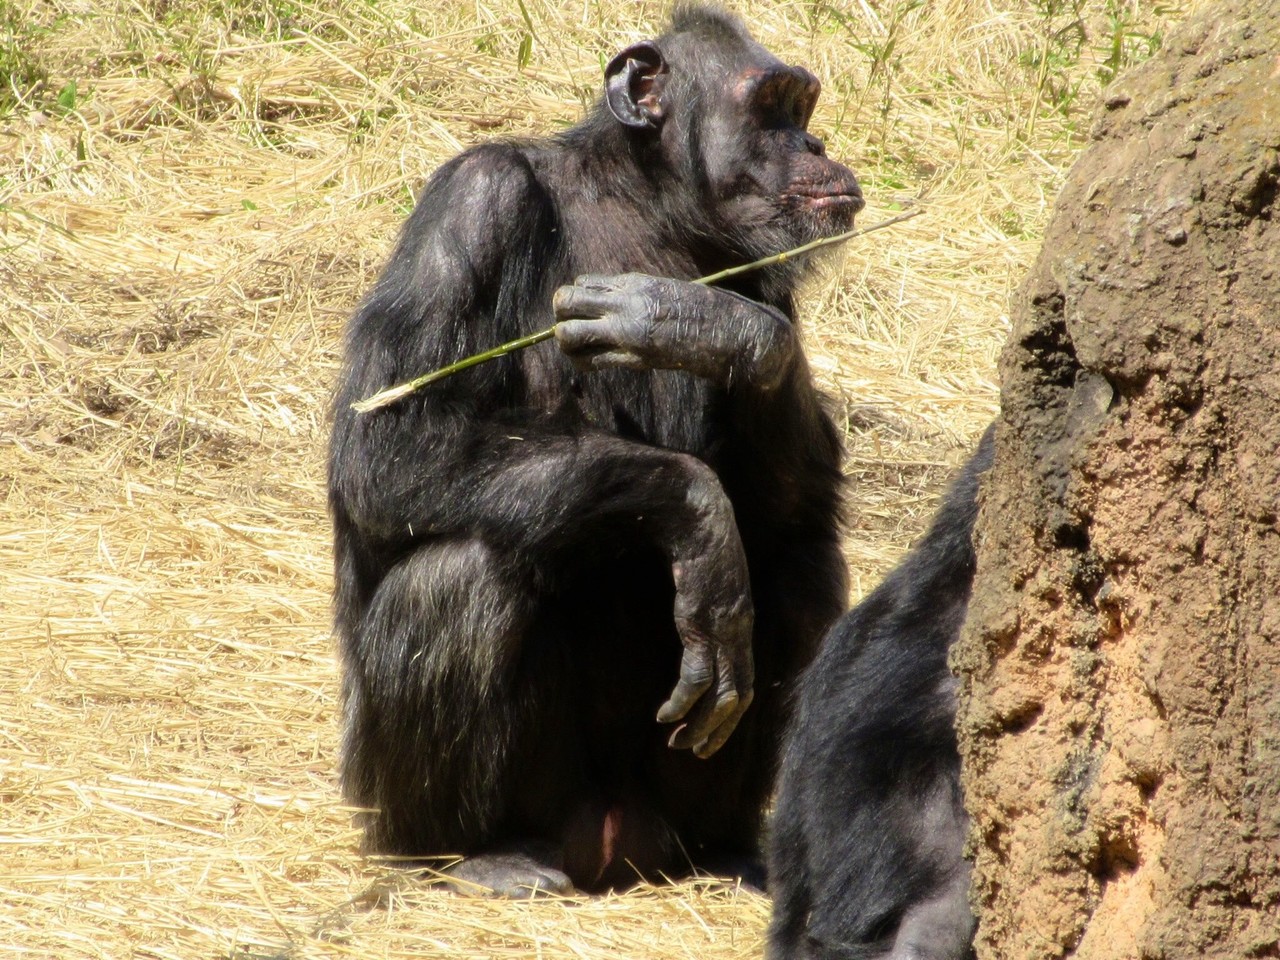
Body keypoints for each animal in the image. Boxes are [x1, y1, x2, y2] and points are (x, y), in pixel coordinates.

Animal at [325, 3, 865, 901]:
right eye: (771, 109)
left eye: (801, 109)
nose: (815, 144)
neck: (643, 202)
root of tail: (617, 847)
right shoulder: (474, 202)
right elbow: (390, 440)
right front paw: (700, 522)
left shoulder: (765, 271)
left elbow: (804, 492)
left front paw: (704, 326)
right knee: (465, 574)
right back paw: (473, 852)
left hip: (666, 798)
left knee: (800, 573)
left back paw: (726, 848)